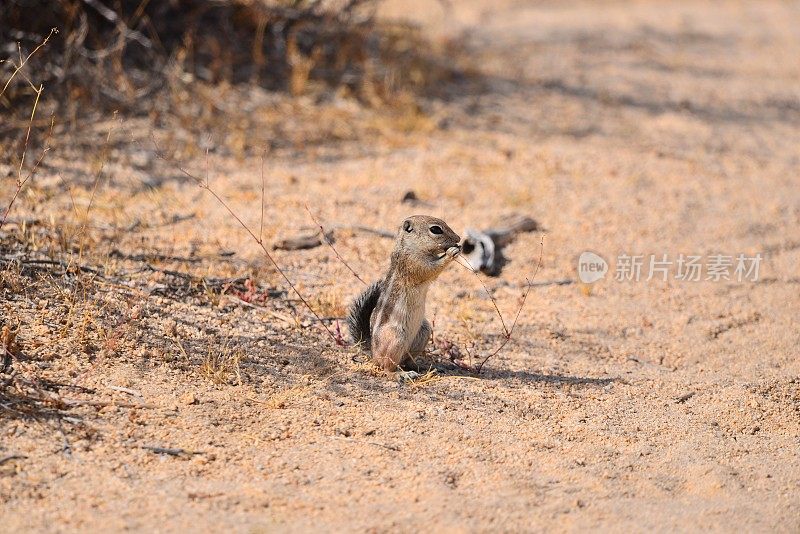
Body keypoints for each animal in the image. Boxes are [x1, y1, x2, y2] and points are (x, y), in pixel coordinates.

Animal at [346, 216, 462, 374]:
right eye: (435, 229)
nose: (458, 238)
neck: (408, 246)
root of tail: (373, 353)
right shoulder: (414, 264)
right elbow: (432, 270)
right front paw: (452, 252)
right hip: (396, 338)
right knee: (388, 367)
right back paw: (401, 375)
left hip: (424, 331)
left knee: (407, 361)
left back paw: (423, 367)